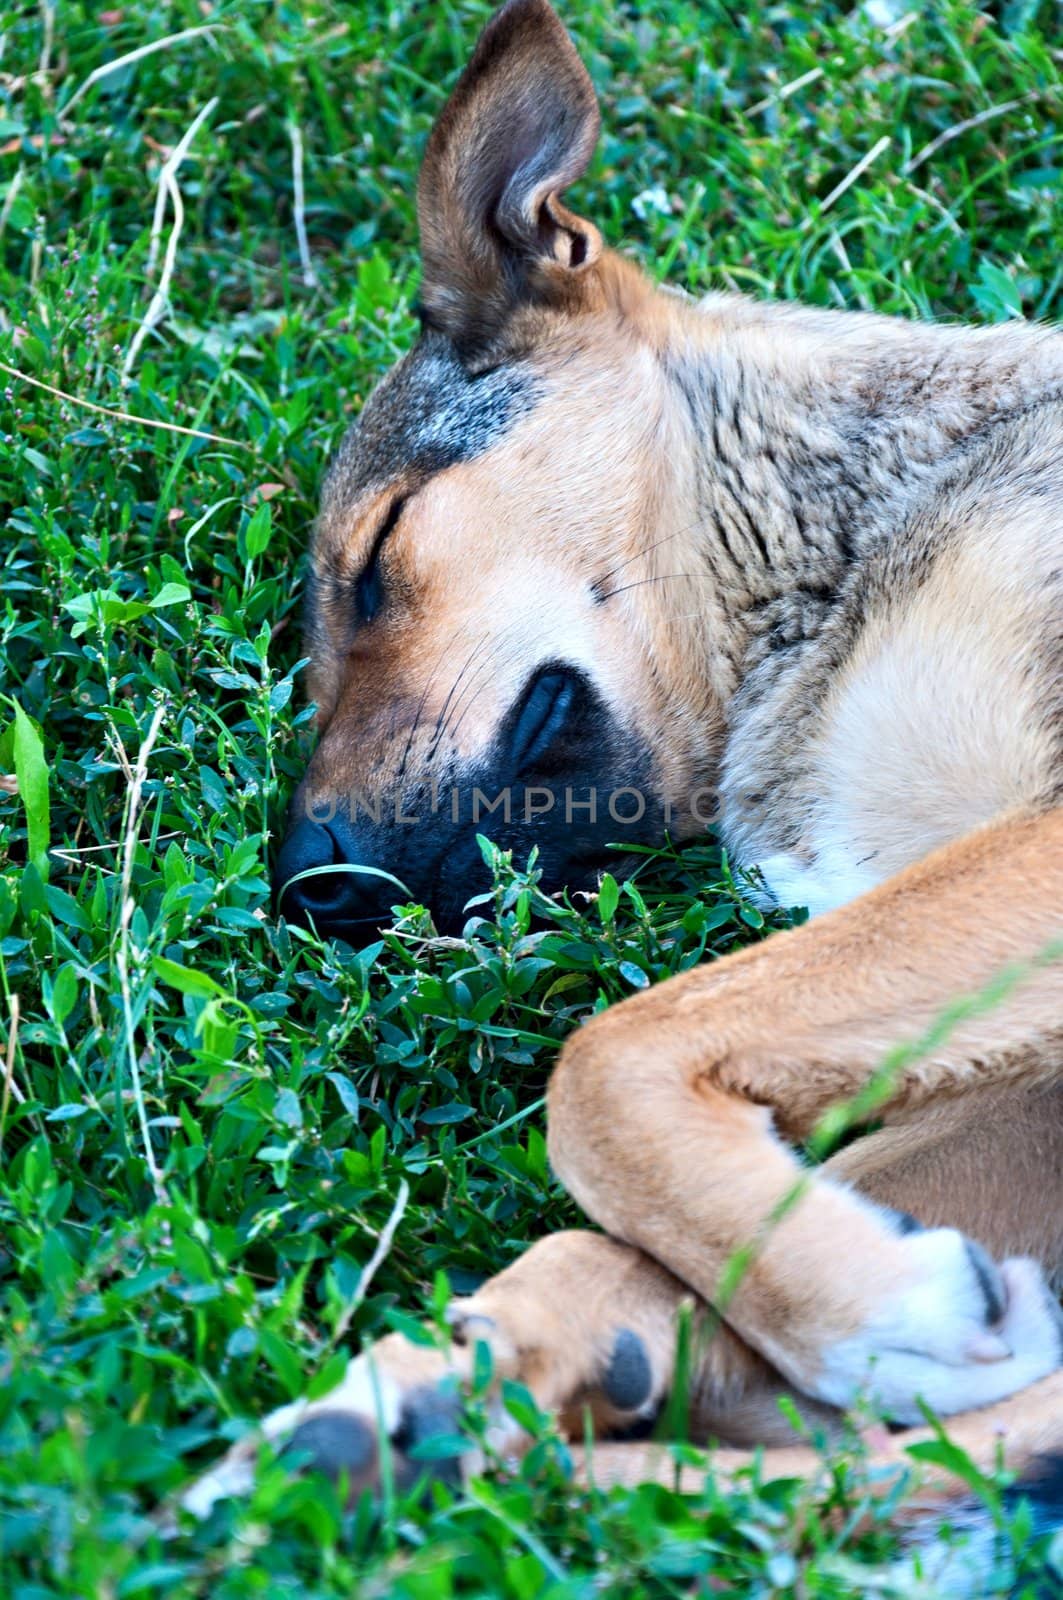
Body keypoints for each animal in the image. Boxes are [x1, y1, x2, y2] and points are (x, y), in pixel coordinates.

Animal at [191, 0, 1063, 1529]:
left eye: (375, 556)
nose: (307, 887)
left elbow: (603, 1057)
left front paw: (875, 1311)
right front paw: (871, 1303)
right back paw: (418, 1406)